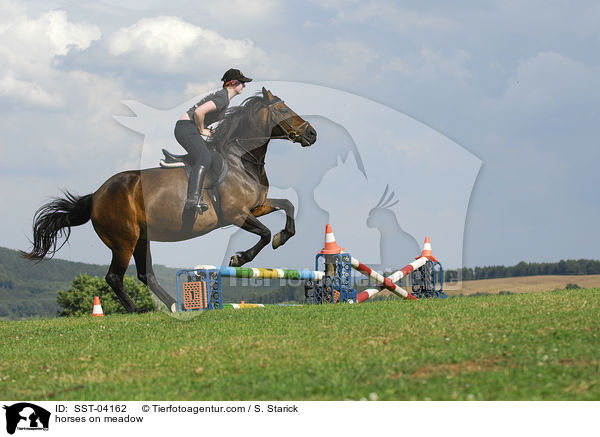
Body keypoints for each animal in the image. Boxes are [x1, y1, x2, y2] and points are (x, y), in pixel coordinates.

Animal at [21, 87, 316, 314]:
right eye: (284, 111)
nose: (312, 134)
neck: (239, 159)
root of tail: (96, 196)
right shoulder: (236, 213)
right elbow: (264, 234)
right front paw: (239, 259)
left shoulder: (255, 207)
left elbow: (287, 206)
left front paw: (282, 237)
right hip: (124, 240)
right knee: (115, 276)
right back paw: (137, 310)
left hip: (142, 238)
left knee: (145, 274)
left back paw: (174, 305)